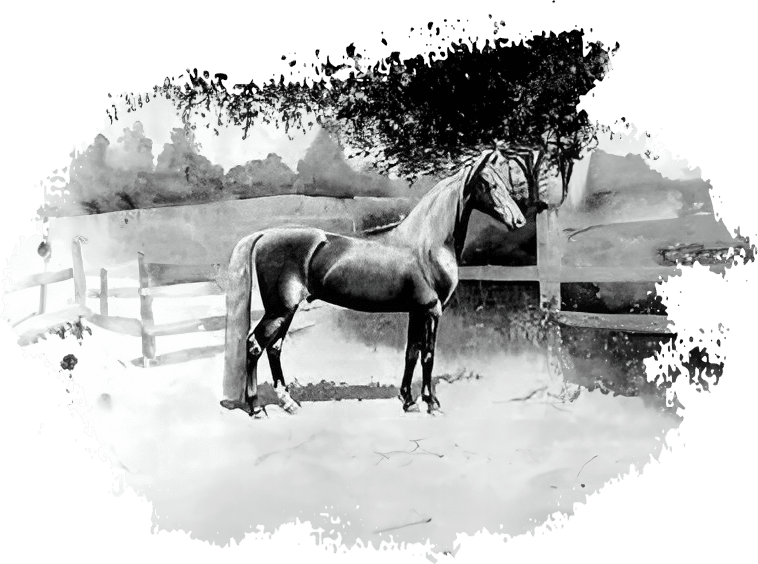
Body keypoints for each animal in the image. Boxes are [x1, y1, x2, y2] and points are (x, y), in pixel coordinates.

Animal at [220, 149, 527, 418]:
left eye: (503, 181)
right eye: (488, 183)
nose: (519, 220)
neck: (426, 245)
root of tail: (264, 235)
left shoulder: (416, 311)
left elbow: (411, 352)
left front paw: (408, 400)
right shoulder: (432, 310)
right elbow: (428, 354)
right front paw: (431, 403)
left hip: (286, 311)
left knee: (274, 348)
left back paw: (288, 403)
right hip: (280, 310)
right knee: (254, 346)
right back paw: (256, 408)